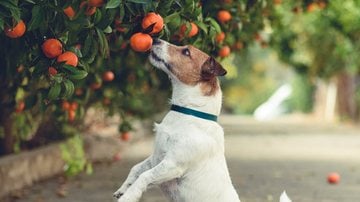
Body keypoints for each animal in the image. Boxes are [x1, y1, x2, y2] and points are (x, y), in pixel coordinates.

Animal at [114, 38, 240, 202]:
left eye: (186, 52)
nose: (155, 39)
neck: (190, 112)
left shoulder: (172, 165)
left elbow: (144, 176)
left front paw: (129, 196)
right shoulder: (155, 158)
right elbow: (136, 169)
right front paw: (123, 189)